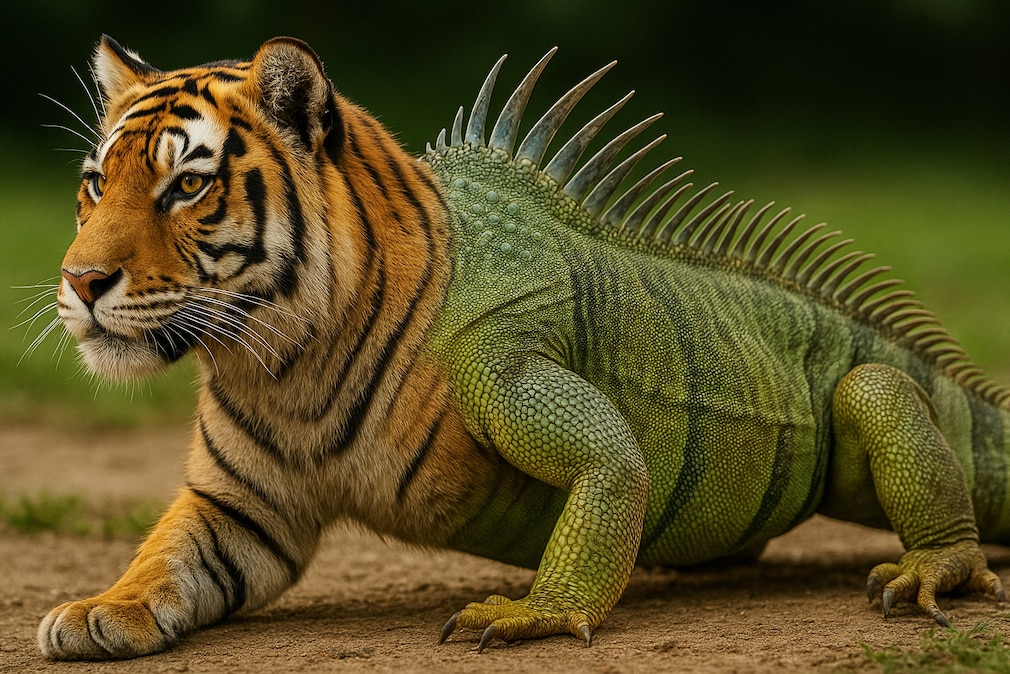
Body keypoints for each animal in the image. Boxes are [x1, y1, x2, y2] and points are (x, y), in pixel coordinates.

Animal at [41, 35, 485, 659]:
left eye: (188, 185)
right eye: (99, 182)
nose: (80, 281)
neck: (294, 367)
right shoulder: (239, 506)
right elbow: (162, 555)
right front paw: (99, 609)